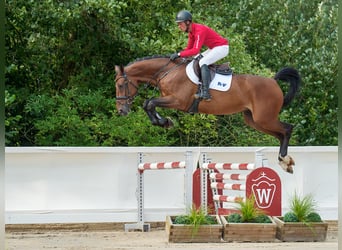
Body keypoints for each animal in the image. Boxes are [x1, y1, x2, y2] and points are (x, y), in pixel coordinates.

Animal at [114, 55, 300, 173]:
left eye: (121, 85)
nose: (121, 111)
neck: (167, 72)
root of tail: (273, 81)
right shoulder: (169, 99)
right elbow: (148, 104)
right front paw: (164, 121)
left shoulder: (178, 101)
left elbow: (150, 102)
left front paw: (164, 121)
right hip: (254, 120)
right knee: (280, 134)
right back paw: (284, 161)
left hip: (264, 118)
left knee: (287, 129)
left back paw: (285, 160)